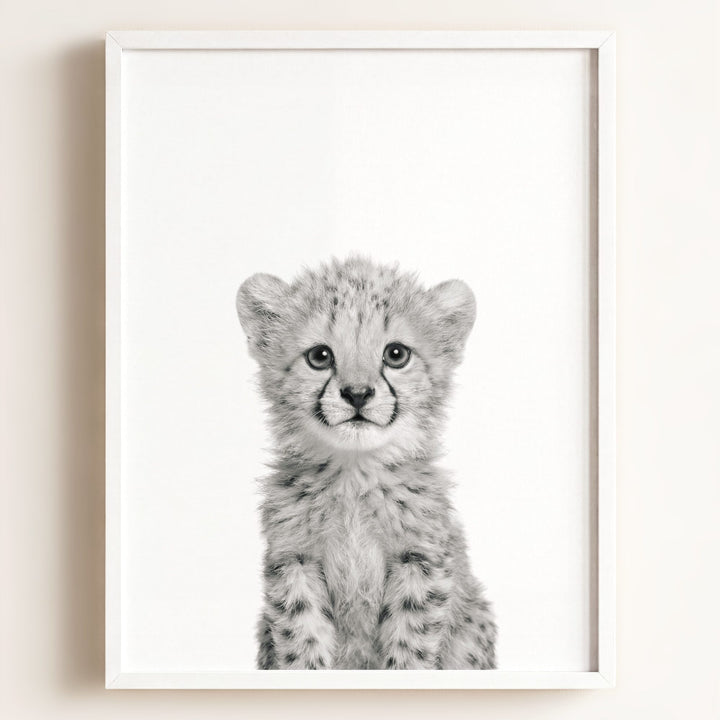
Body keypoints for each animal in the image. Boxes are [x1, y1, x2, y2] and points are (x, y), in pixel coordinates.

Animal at [236, 256, 496, 670]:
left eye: (396, 354)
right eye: (320, 357)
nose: (357, 394)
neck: (354, 476)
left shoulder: (420, 560)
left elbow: (410, 643)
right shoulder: (294, 560)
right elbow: (302, 637)